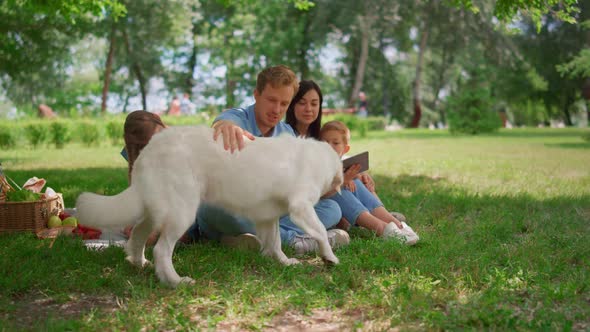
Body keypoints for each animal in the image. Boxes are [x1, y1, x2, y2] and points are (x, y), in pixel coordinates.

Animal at [74, 126, 344, 286]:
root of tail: (151, 147)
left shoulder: (267, 217)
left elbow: (275, 242)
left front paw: (284, 262)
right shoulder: (301, 208)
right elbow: (321, 232)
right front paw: (330, 258)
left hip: (153, 211)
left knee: (138, 236)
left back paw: (139, 264)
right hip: (182, 212)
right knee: (161, 250)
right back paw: (175, 281)